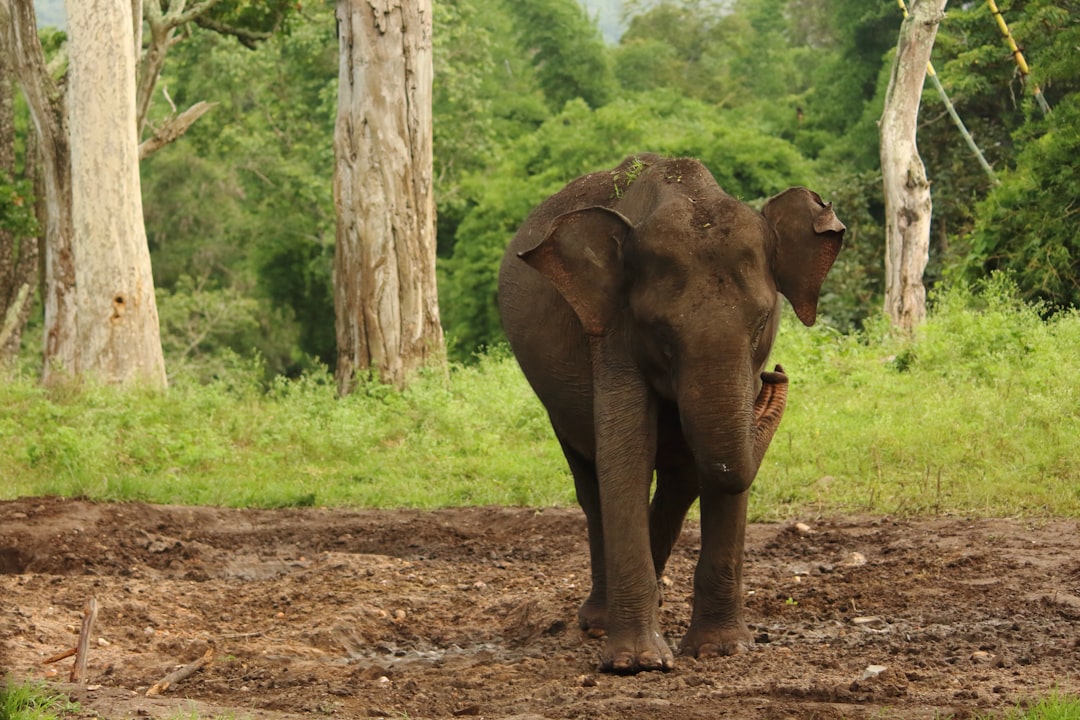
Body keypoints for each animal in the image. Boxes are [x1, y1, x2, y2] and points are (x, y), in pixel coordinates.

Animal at [496, 153, 842, 677]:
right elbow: (626, 453)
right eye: (660, 331)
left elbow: (719, 471)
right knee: (590, 479)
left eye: (763, 321)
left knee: (682, 479)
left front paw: (722, 651)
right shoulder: (612, 331)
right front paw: (636, 664)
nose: (775, 377)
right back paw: (598, 622)